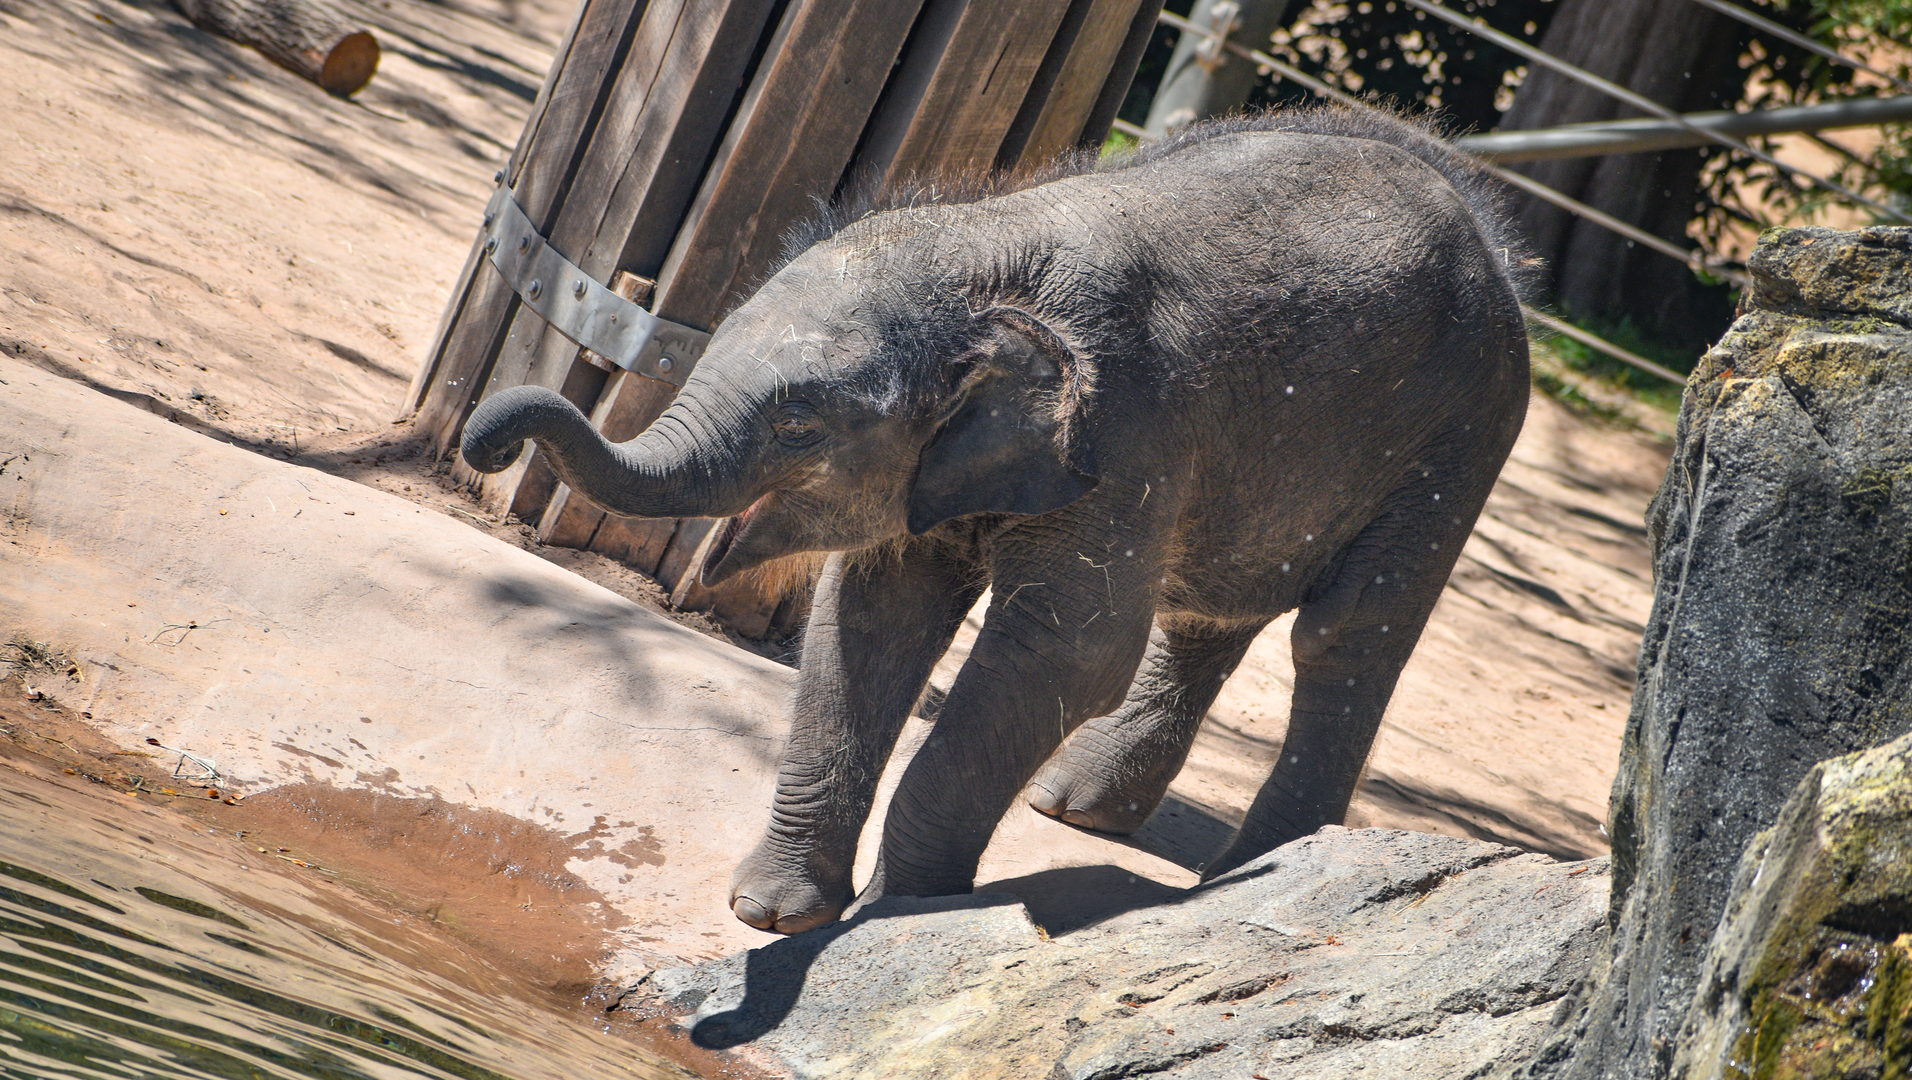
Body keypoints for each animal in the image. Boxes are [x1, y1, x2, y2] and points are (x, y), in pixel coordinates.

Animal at [462, 105, 1531, 935]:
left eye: (798, 424)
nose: (490, 443)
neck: (984, 253)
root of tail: (1485, 223)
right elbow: (871, 619)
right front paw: (776, 915)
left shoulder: (1124, 435)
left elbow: (1069, 654)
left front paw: (896, 916)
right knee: (1215, 608)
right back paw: (1078, 813)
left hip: (1462, 436)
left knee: (1347, 632)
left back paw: (1260, 869)